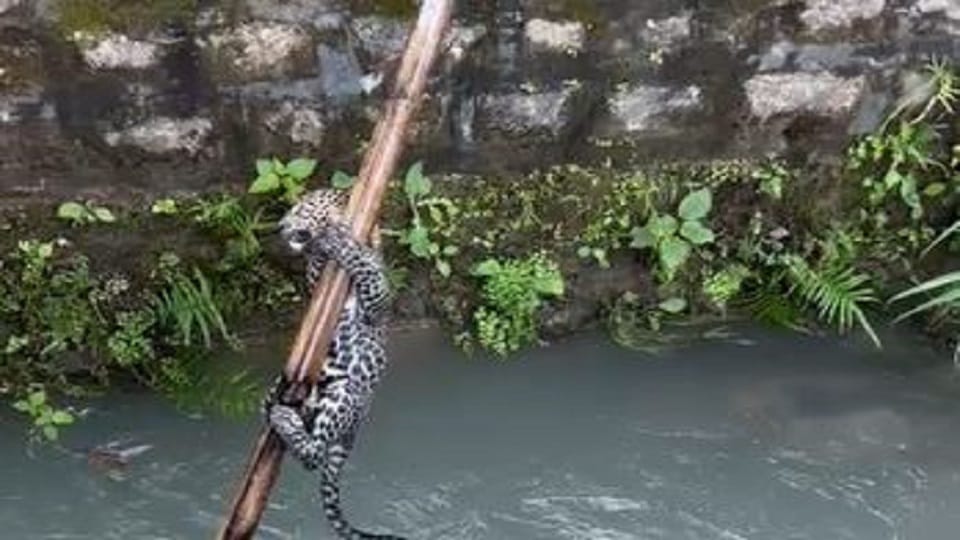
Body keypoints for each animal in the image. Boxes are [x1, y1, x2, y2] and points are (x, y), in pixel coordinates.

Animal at [262, 188, 404, 540]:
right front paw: (325, 243)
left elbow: (367, 265)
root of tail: (356, 427)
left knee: (313, 455)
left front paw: (338, 237)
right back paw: (274, 405)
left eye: (301, 209)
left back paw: (283, 416)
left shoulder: (376, 305)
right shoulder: (317, 284)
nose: (280, 225)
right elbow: (317, 268)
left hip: (344, 391)